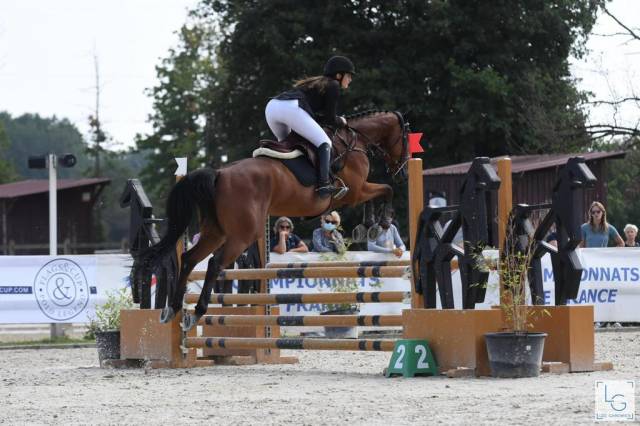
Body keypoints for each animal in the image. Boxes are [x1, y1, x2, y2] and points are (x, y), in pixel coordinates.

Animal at [138, 110, 410, 330]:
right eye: (406, 139)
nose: (404, 173)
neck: (353, 142)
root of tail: (219, 173)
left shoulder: (358, 190)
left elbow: (381, 192)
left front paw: (370, 225)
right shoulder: (356, 191)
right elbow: (386, 190)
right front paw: (379, 223)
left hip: (216, 232)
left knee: (189, 258)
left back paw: (172, 309)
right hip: (243, 234)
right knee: (215, 264)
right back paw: (196, 312)